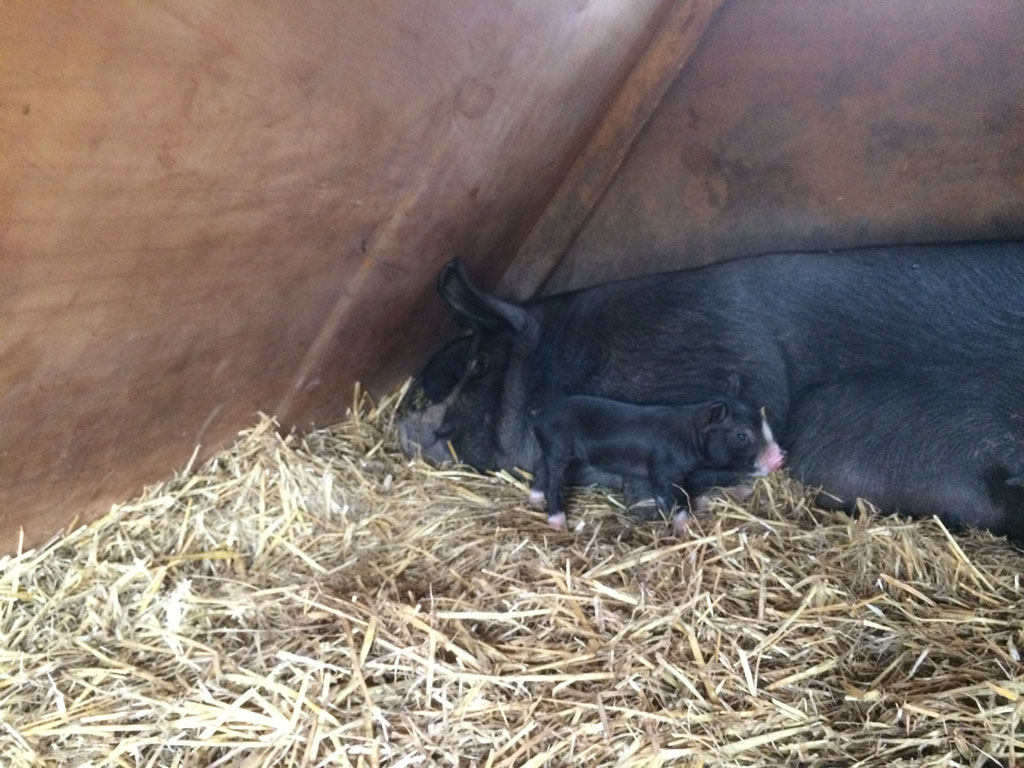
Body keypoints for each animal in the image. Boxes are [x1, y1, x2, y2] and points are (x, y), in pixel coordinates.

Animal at [529, 395, 786, 534]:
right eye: (742, 435)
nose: (780, 457)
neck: (689, 436)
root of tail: (540, 415)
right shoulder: (662, 469)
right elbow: (673, 499)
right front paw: (684, 529)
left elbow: (688, 493)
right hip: (559, 449)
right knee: (553, 480)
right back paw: (558, 525)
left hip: (551, 451)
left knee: (540, 468)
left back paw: (535, 501)